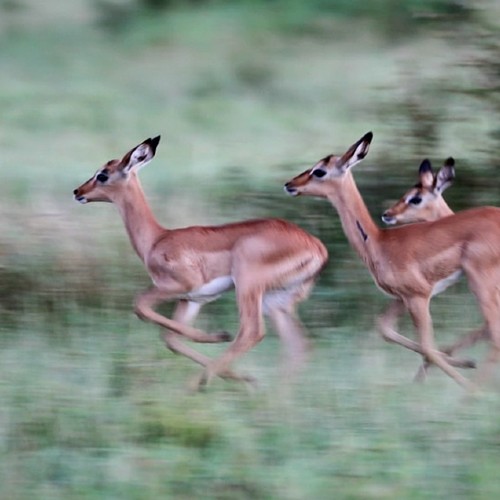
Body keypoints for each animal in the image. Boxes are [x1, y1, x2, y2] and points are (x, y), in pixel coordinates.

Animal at [72, 137, 326, 390]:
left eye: (103, 174)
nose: (78, 191)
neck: (157, 239)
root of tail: (316, 246)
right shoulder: (192, 299)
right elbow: (170, 339)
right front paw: (243, 375)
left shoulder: (178, 286)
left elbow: (141, 307)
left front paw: (218, 337)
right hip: (276, 301)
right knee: (298, 346)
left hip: (249, 288)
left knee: (252, 332)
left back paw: (199, 384)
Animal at [284, 133, 500, 390]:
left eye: (319, 171)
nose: (290, 184)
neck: (379, 241)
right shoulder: (402, 298)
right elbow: (385, 329)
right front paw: (464, 363)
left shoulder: (418, 296)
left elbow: (428, 347)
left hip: (481, 285)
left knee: (494, 334)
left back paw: (474, 392)